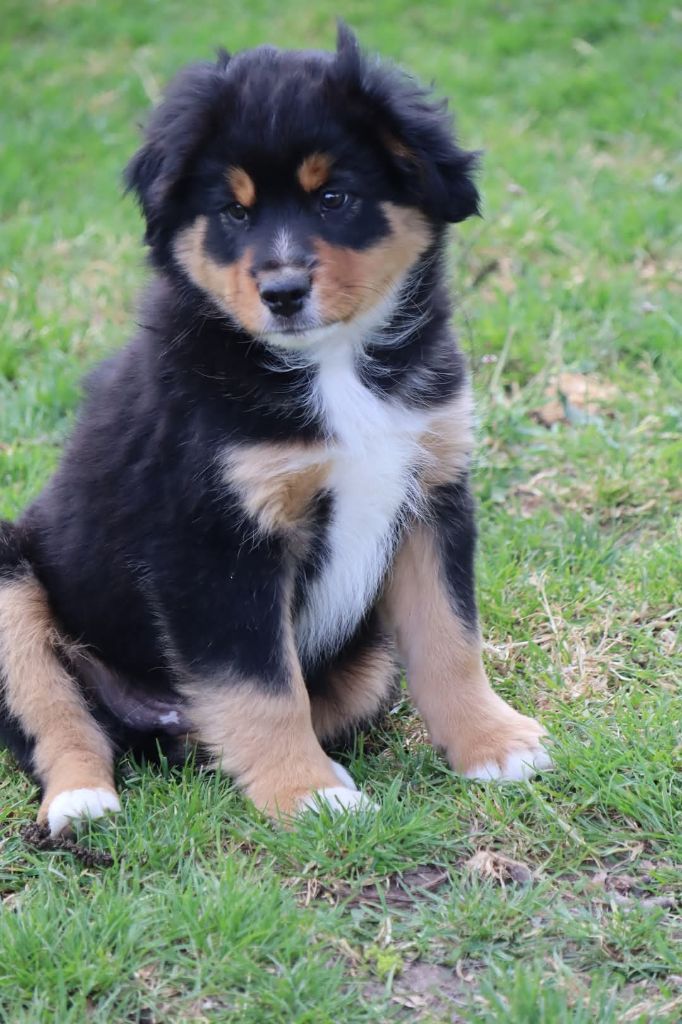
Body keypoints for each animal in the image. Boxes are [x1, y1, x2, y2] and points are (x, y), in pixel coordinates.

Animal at [0, 25, 551, 837]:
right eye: (233, 213)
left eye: (334, 197)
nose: (283, 292)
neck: (334, 365)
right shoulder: (212, 542)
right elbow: (262, 685)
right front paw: (306, 794)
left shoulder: (432, 494)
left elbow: (451, 639)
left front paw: (494, 744)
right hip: (11, 578)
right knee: (58, 718)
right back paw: (83, 799)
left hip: (368, 659)